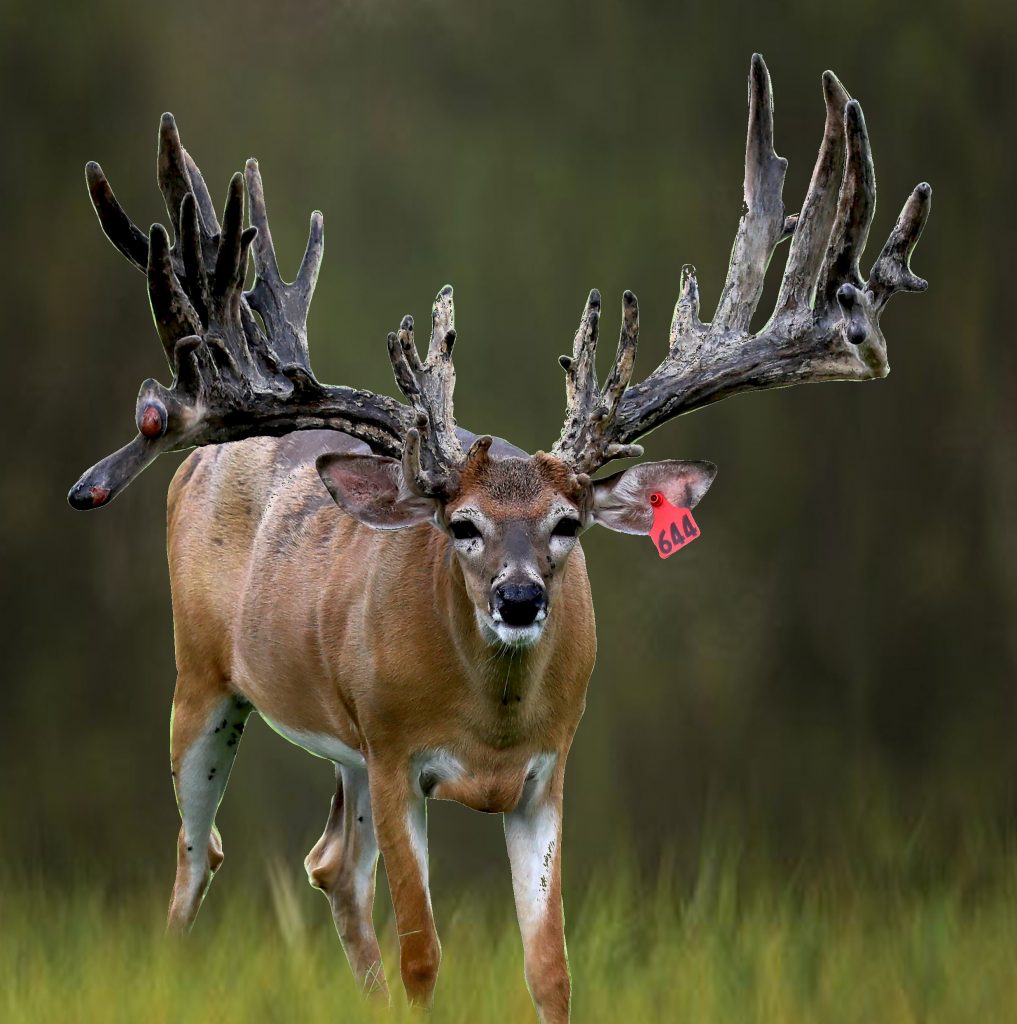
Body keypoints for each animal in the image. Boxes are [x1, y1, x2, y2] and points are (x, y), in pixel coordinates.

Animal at [68, 55, 928, 1023]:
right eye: (461, 525)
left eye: (568, 523)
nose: (520, 599)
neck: (490, 730)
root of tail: (200, 462)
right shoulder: (400, 756)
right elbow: (424, 956)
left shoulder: (545, 773)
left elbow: (549, 966)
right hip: (204, 680)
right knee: (196, 858)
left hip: (345, 745)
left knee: (331, 866)